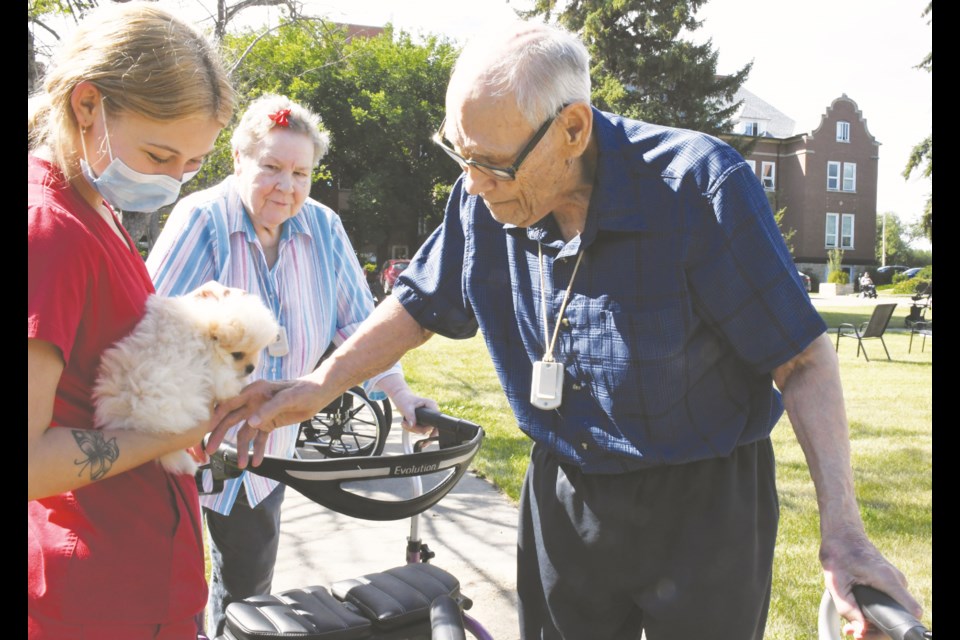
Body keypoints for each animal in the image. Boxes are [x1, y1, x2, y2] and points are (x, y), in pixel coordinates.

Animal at [93, 282, 280, 476]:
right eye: (237, 354)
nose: (251, 368)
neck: (206, 327)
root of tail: (129, 420)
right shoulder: (213, 367)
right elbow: (226, 383)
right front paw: (239, 384)